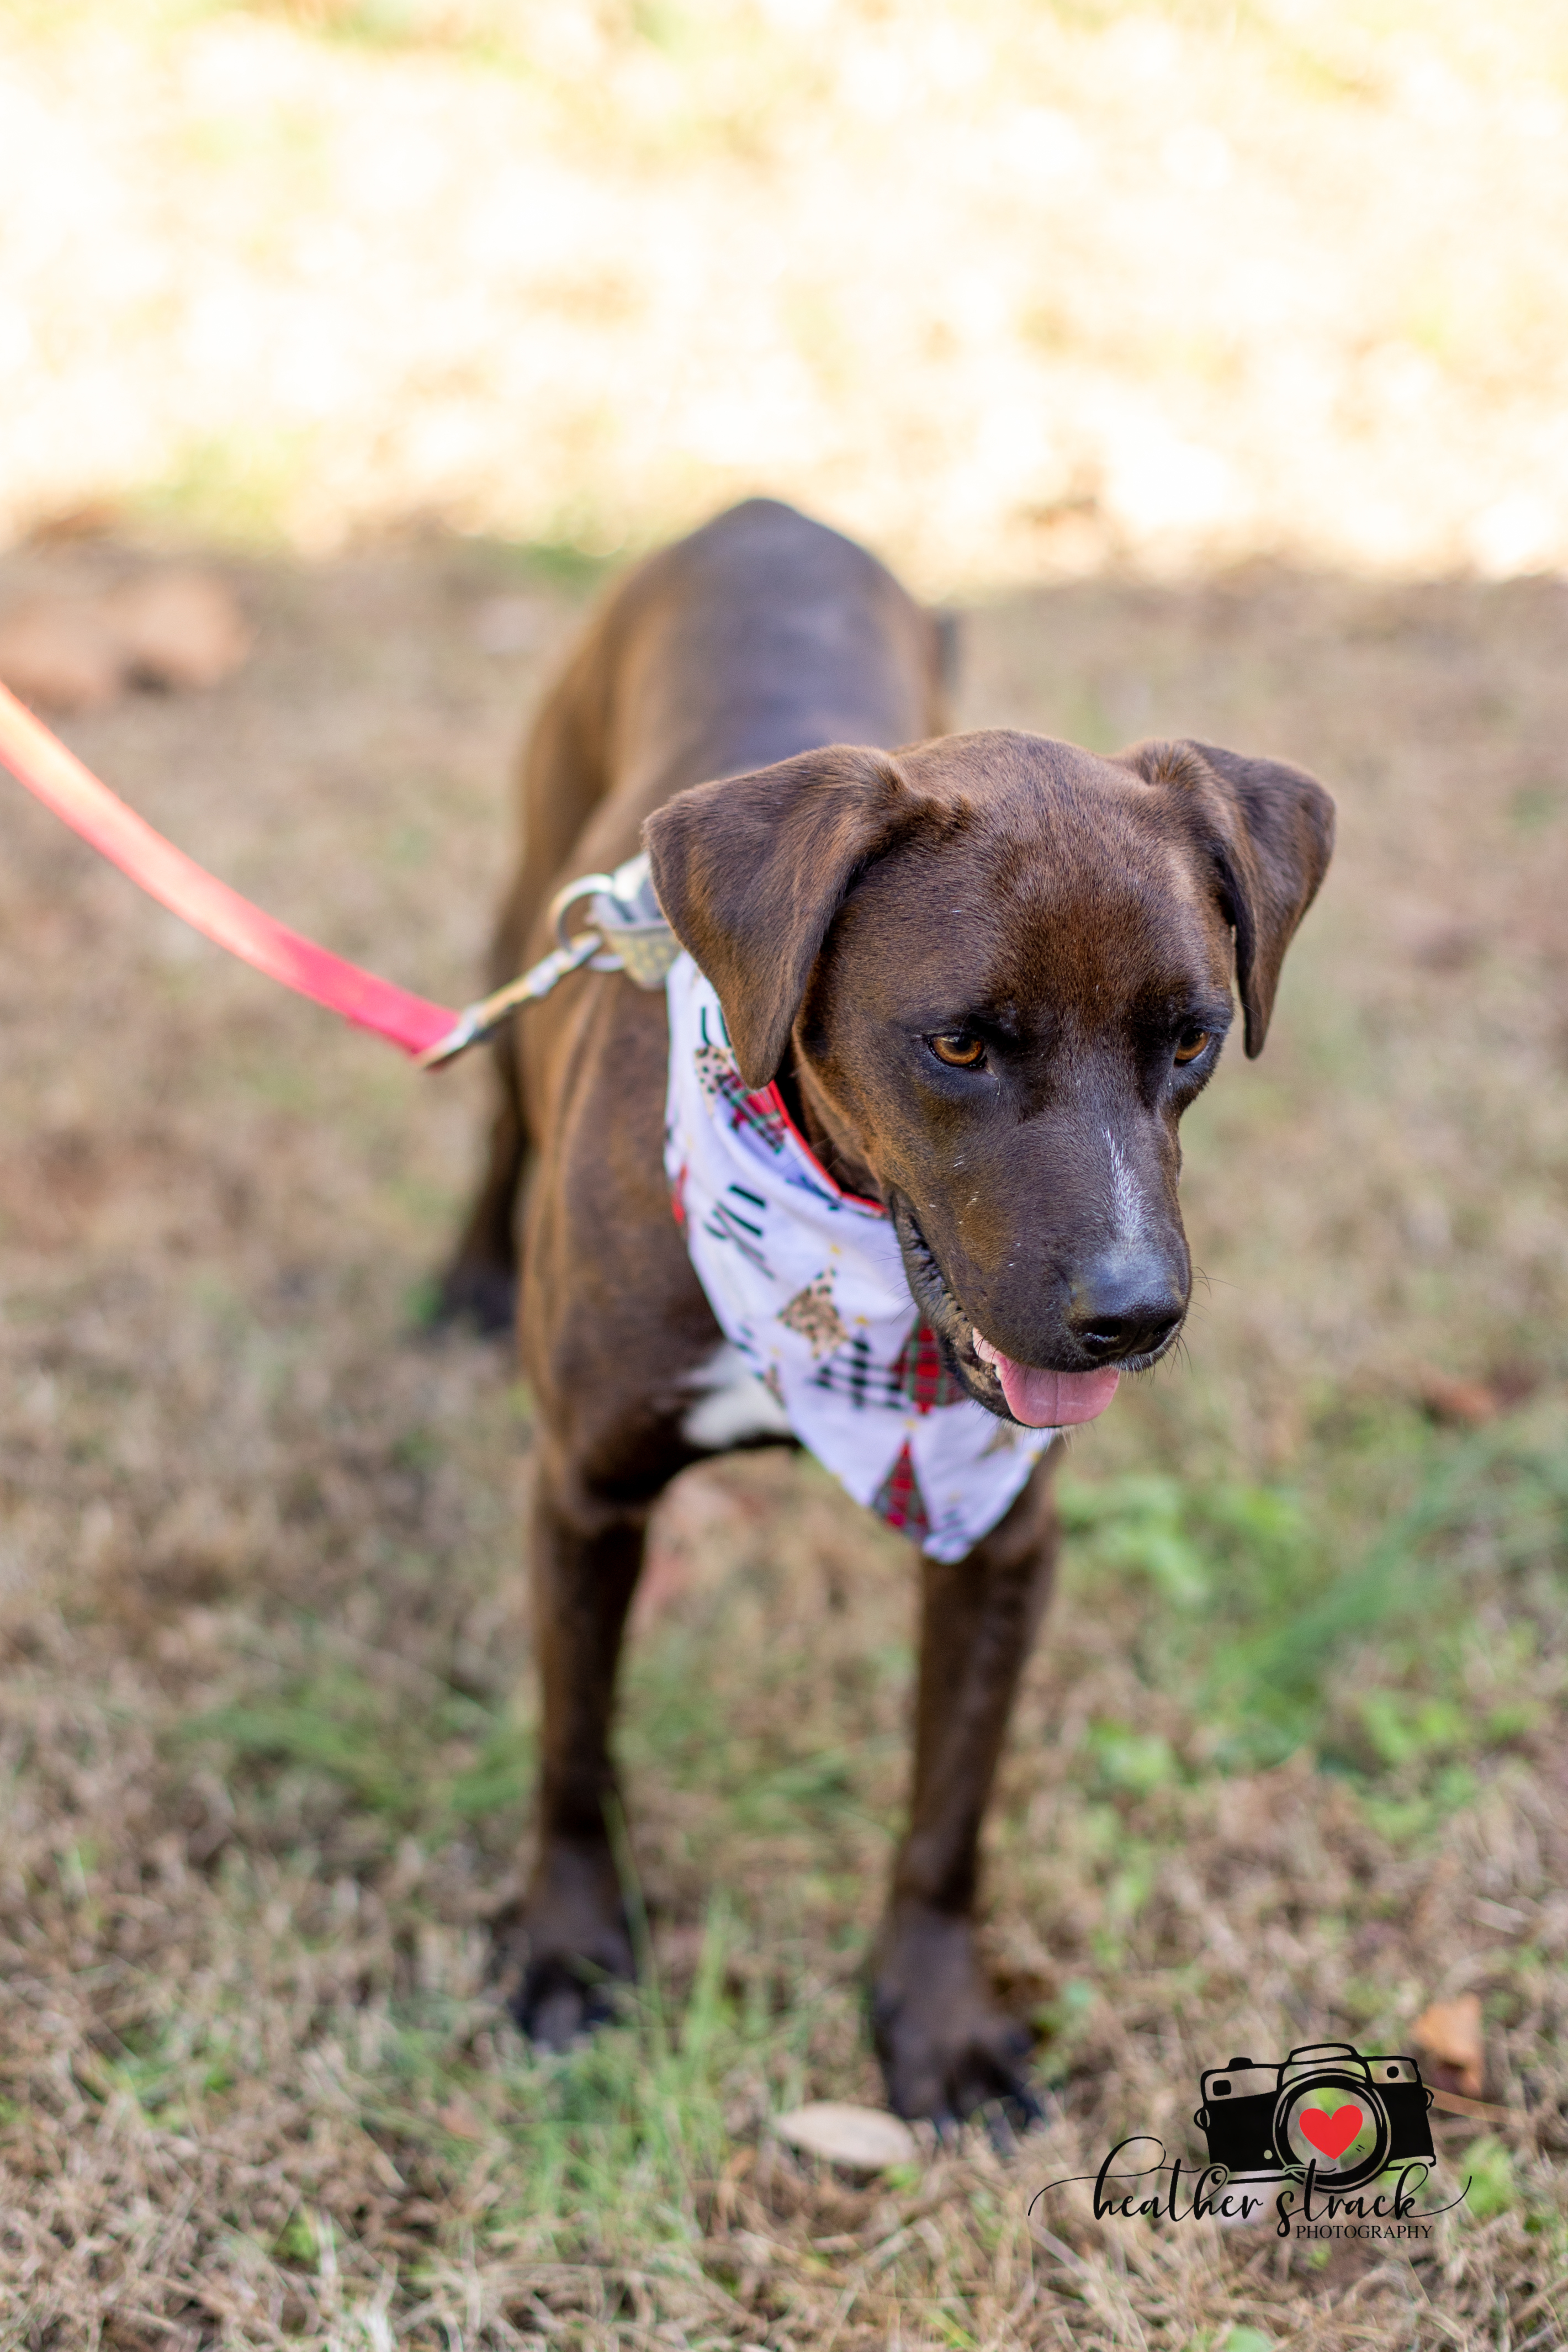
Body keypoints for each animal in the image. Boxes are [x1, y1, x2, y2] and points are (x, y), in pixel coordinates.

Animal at [444, 501, 1335, 2136]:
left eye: (1188, 1039)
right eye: (961, 1044)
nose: (1133, 1314)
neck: (831, 1242)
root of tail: (761, 514)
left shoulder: (1000, 1542)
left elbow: (947, 1813)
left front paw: (939, 2020)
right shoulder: (586, 1493)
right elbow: (573, 1748)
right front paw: (571, 1948)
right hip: (521, 896)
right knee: (492, 1108)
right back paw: (469, 1271)